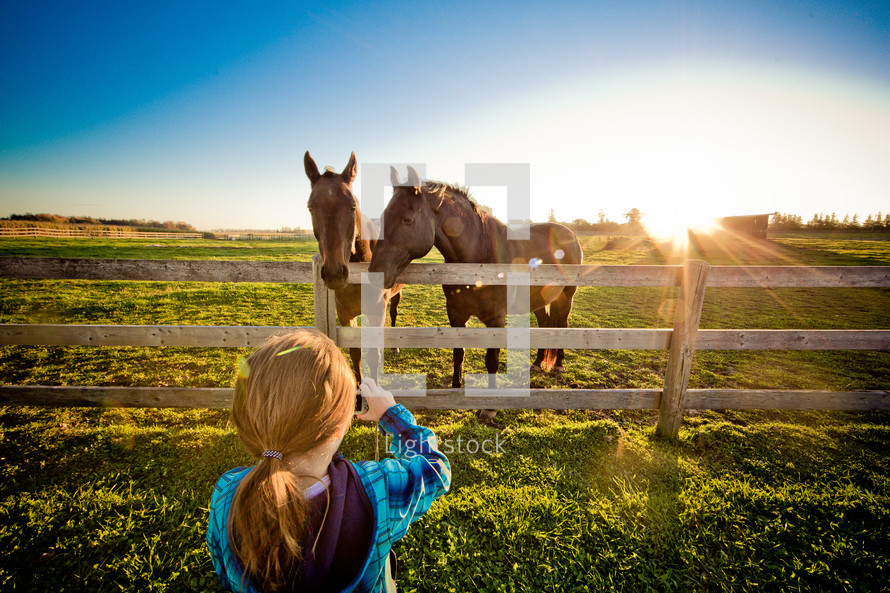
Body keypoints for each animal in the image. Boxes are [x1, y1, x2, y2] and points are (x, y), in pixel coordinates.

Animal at [306, 149, 402, 380]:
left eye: (352, 207)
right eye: (311, 208)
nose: (334, 273)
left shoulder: (376, 311)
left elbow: (373, 356)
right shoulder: (345, 315)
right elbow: (356, 354)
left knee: (394, 312)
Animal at [368, 165, 584, 388]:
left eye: (407, 219)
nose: (375, 273)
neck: (478, 259)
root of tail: (569, 233)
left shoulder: (496, 319)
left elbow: (491, 362)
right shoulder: (456, 314)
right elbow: (458, 354)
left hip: (566, 297)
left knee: (563, 323)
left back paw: (558, 364)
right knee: (544, 323)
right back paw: (538, 363)